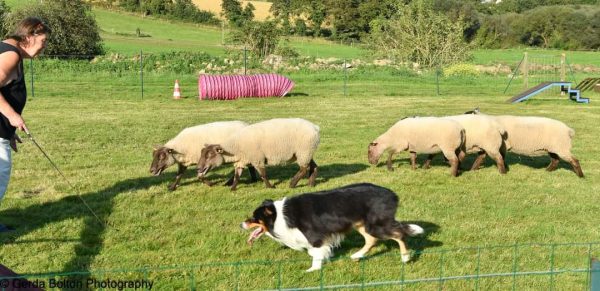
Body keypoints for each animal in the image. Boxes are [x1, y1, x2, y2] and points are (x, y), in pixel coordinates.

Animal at [239, 184, 422, 272]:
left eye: (254, 218)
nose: (241, 224)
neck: (279, 215)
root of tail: (392, 195)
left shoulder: (315, 236)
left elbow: (315, 253)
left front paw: (313, 269)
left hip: (377, 225)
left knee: (399, 233)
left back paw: (405, 257)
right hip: (362, 224)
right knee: (372, 240)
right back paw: (357, 255)